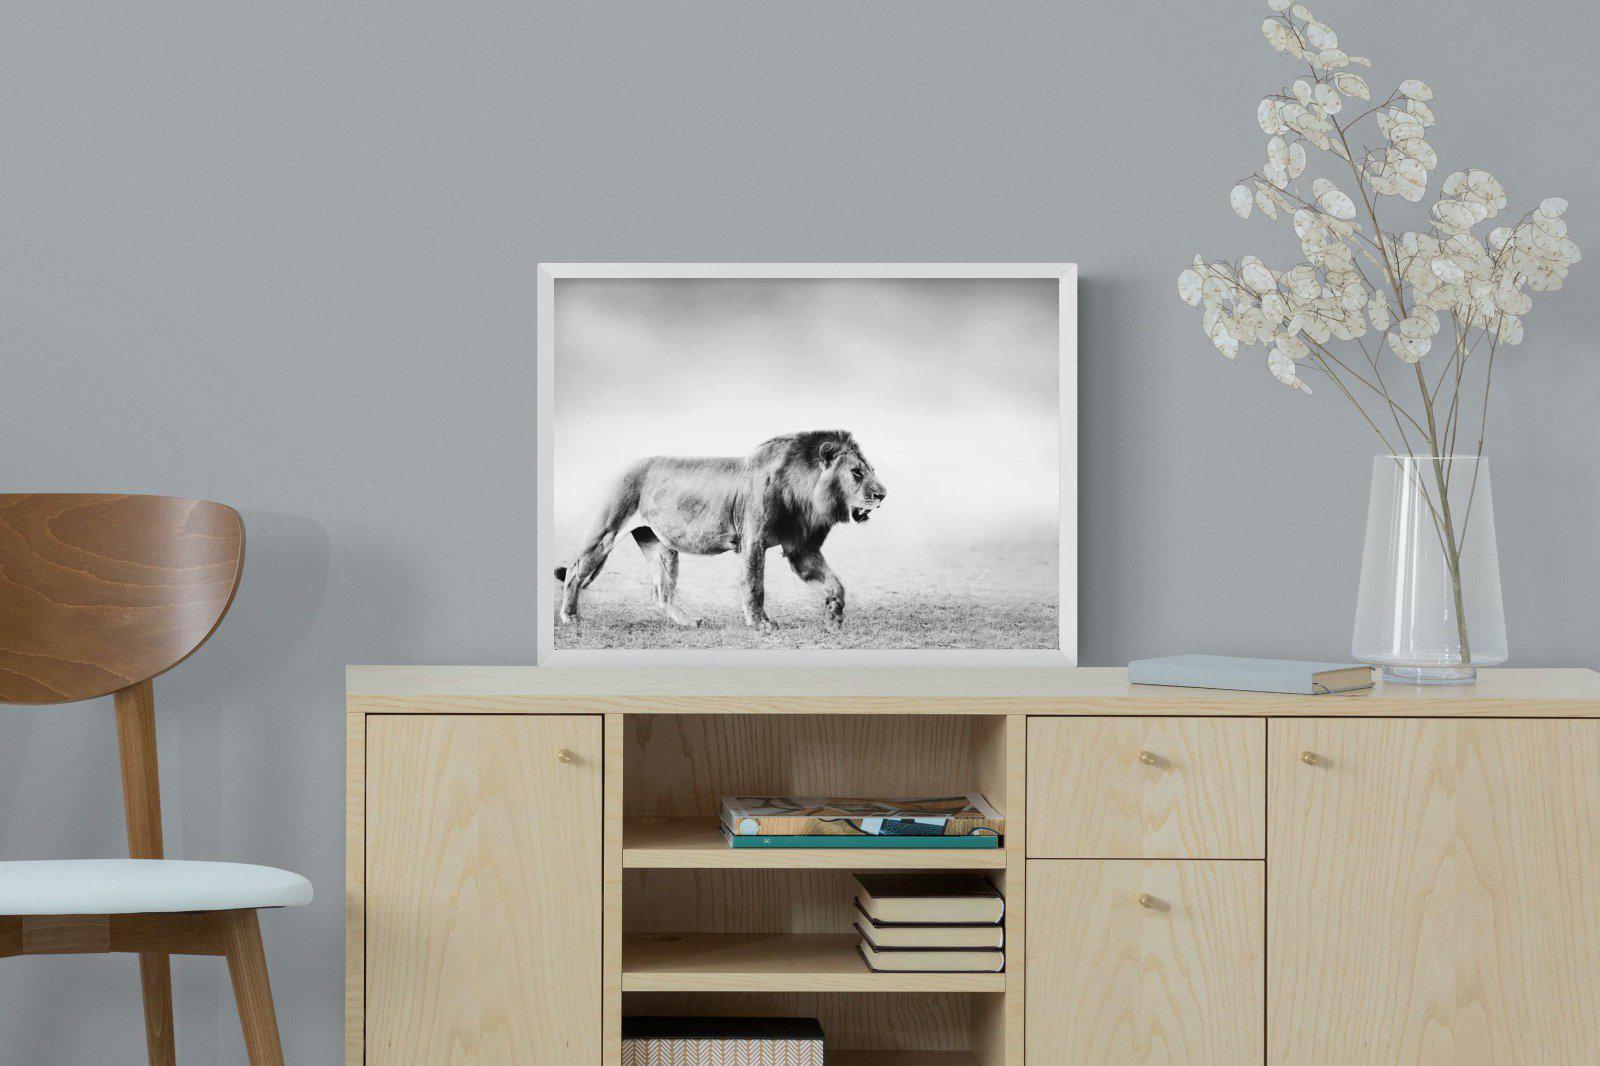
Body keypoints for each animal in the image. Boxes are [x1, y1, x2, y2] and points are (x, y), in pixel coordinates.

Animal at [554, 430, 887, 631]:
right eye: (856, 472)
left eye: (871, 471)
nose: (883, 494)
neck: (805, 493)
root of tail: (621, 467)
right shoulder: (753, 541)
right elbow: (754, 586)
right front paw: (759, 624)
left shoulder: (801, 548)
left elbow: (835, 584)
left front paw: (835, 614)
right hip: (605, 531)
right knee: (574, 572)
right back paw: (570, 618)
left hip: (661, 547)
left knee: (661, 592)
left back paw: (688, 622)